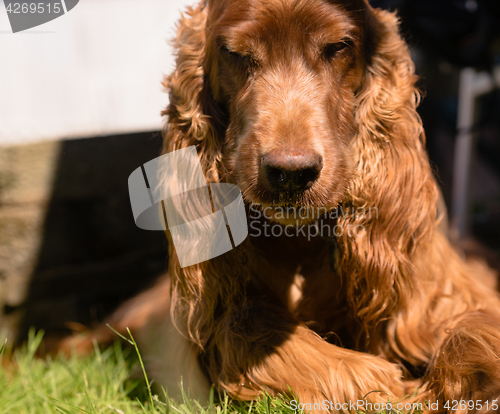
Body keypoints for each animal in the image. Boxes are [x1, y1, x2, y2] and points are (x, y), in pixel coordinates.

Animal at [68, 0, 500, 410]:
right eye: (236, 53)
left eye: (337, 47)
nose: (291, 172)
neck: (299, 245)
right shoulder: (214, 323)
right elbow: (252, 325)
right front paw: (380, 385)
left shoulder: (446, 297)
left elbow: (474, 330)